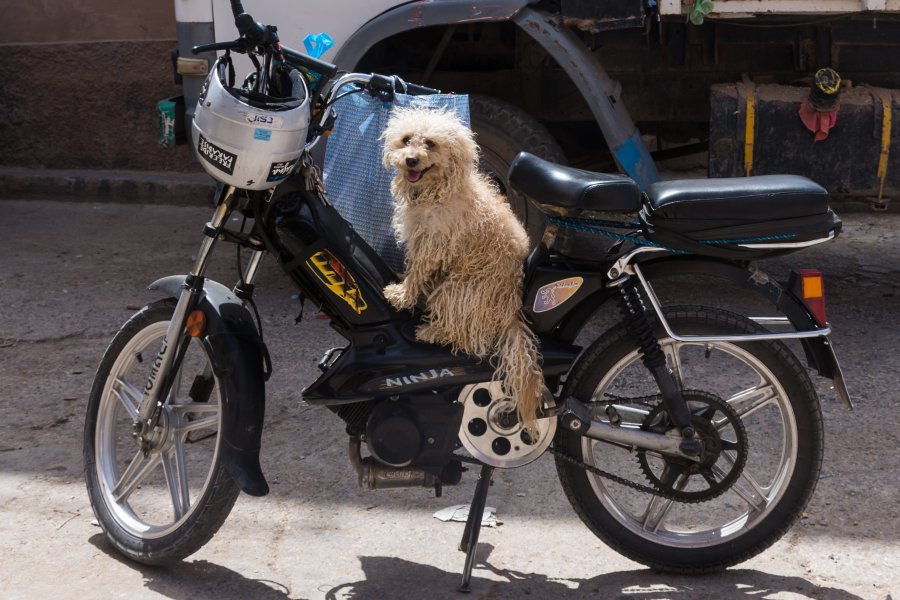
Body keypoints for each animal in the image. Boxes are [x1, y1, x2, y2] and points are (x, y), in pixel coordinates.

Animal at [380, 106, 540, 426]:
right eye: (406, 139)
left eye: (430, 143)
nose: (411, 159)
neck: (437, 190)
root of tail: (510, 313)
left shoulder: (431, 244)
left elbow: (416, 272)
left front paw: (401, 295)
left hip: (457, 290)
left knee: (467, 339)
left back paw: (432, 332)